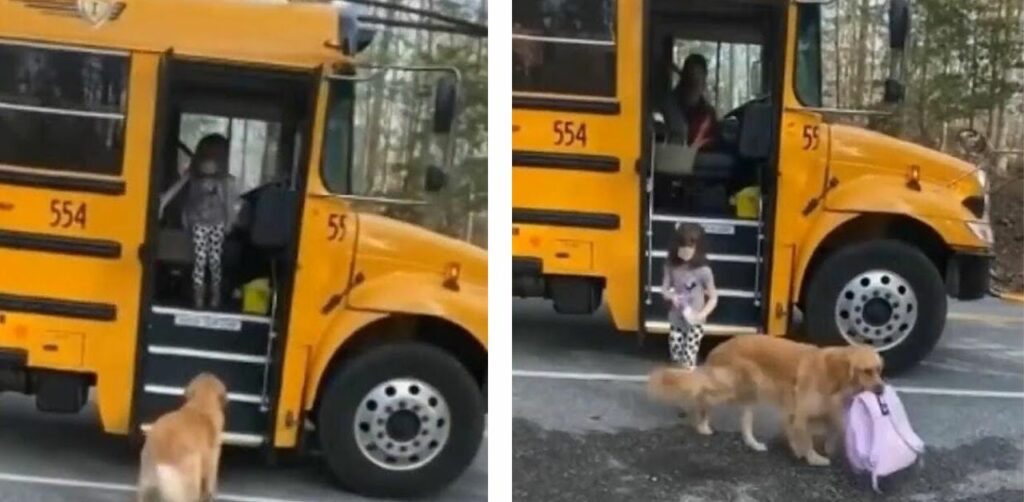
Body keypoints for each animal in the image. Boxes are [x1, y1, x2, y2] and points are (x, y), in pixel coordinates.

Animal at [651, 336, 884, 465]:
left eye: (880, 370)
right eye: (866, 371)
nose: (881, 389)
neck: (834, 375)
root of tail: (717, 349)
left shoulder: (819, 410)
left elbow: (837, 427)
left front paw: (823, 447)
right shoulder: (800, 412)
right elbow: (807, 438)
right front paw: (813, 458)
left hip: (750, 393)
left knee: (744, 424)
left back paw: (753, 444)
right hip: (731, 387)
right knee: (702, 394)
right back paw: (701, 423)